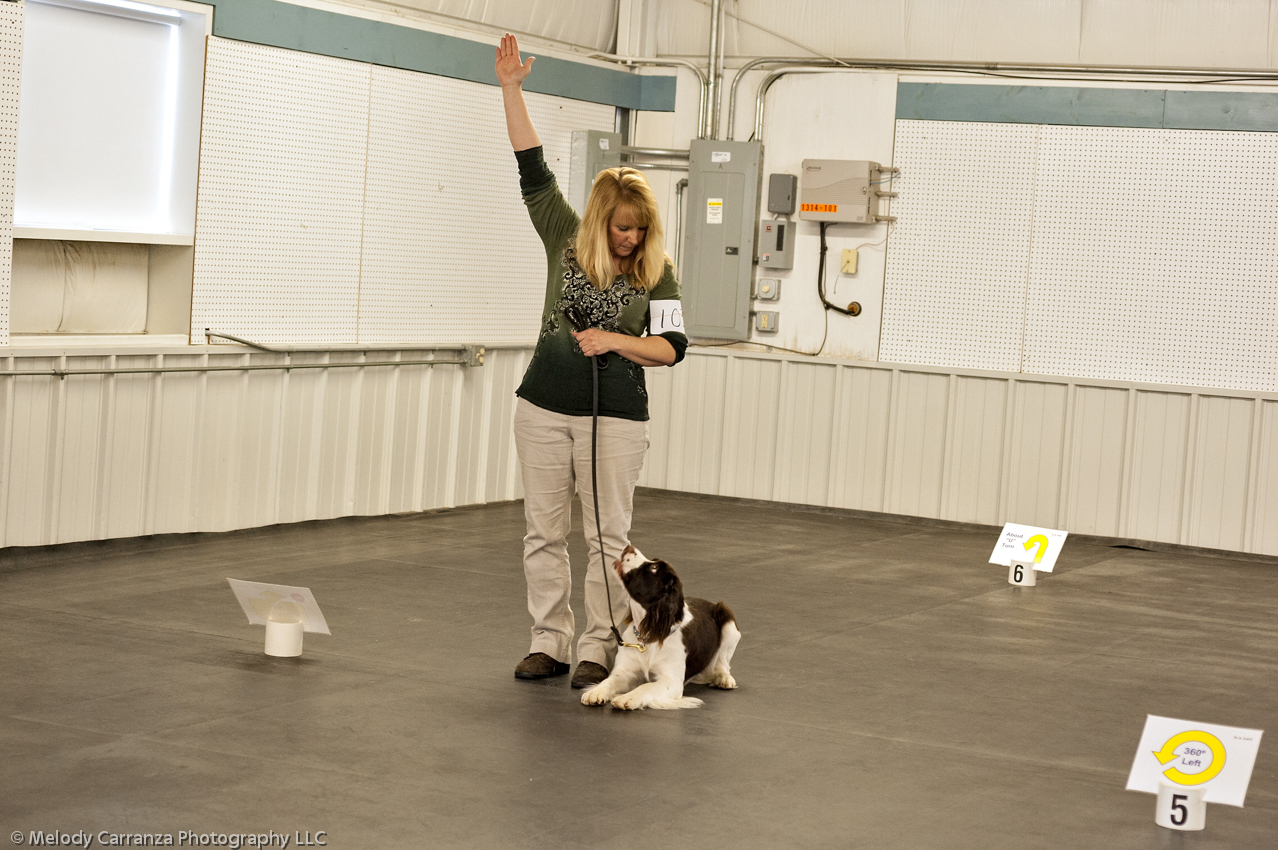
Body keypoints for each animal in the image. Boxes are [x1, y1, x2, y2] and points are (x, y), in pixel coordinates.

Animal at [580, 544, 741, 710]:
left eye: (654, 568)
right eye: (654, 563)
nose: (629, 547)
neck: (648, 634)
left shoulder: (672, 681)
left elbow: (646, 686)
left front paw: (626, 698)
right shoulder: (627, 671)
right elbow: (610, 680)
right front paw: (595, 692)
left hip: (728, 620)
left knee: (723, 664)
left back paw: (724, 679)